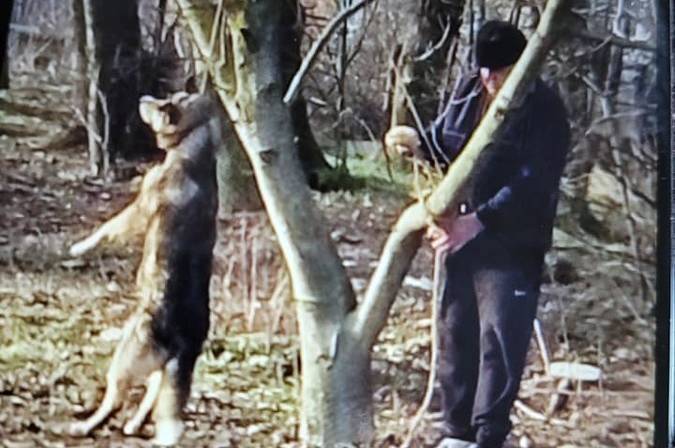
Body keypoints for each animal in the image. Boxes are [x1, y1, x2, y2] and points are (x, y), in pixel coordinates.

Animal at [67, 92, 219, 444]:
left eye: (163, 104)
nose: (144, 97)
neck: (195, 143)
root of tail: (184, 340)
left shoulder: (139, 207)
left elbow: (106, 228)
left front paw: (80, 247)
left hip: (125, 355)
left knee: (116, 398)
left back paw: (87, 425)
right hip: (160, 368)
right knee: (154, 397)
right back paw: (135, 424)